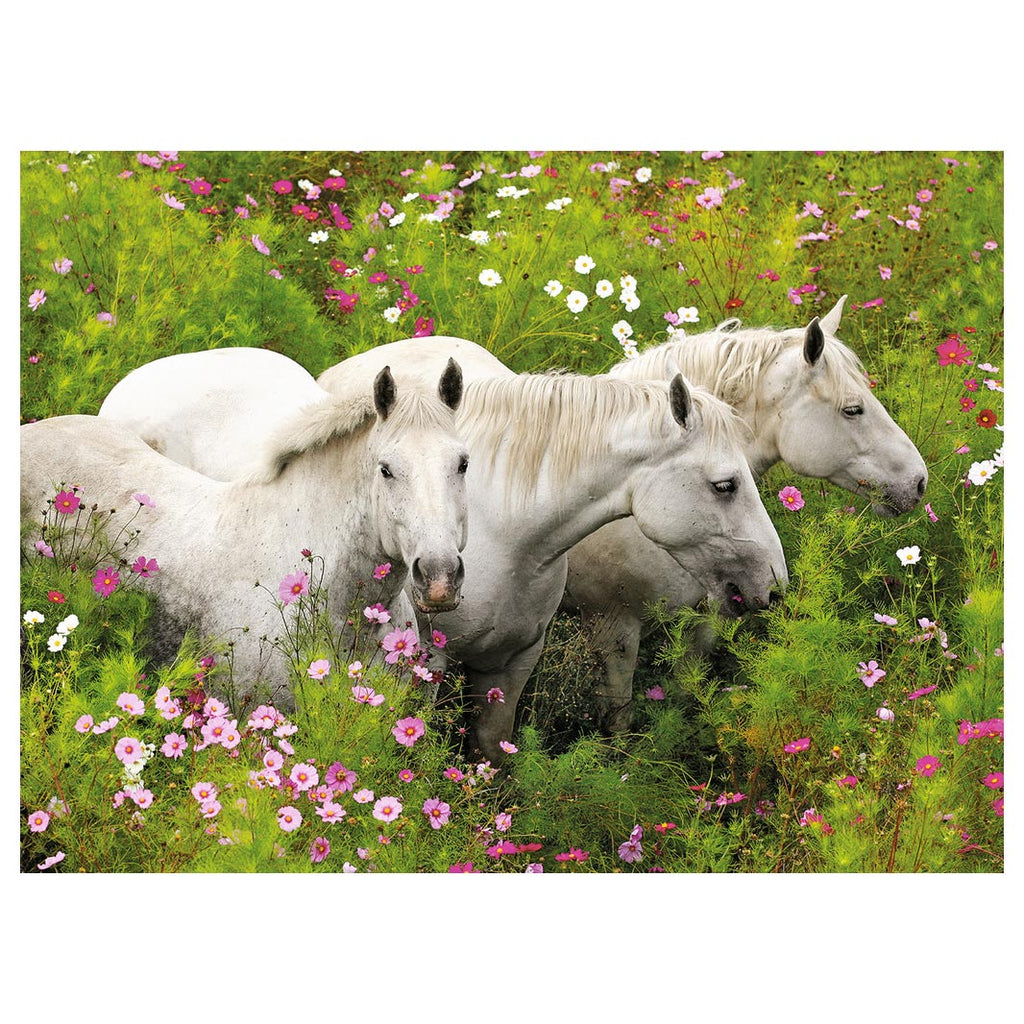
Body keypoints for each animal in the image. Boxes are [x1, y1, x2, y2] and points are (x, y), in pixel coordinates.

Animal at [97, 340, 788, 763]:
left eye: (464, 463)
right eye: (725, 484)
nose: (774, 584)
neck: (509, 533)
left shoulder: (512, 662)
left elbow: (491, 754)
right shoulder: (428, 667)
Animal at [563, 295, 930, 730]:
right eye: (853, 409)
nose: (918, 482)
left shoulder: (703, 619)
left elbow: (687, 693)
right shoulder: (612, 632)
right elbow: (618, 722)